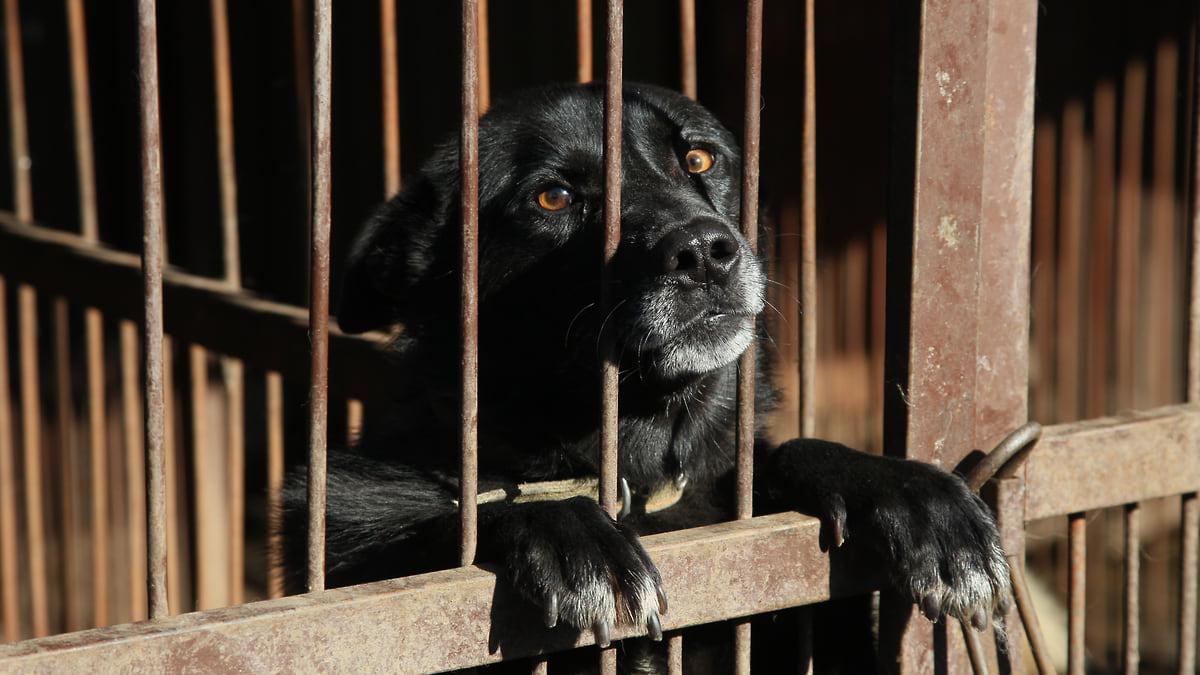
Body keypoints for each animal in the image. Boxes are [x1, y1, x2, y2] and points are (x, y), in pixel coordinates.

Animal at [285, 84, 1008, 658]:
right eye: (553, 197)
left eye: (699, 158)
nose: (705, 253)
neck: (635, 467)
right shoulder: (348, 524)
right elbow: (459, 514)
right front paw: (576, 535)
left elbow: (783, 453)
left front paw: (914, 496)